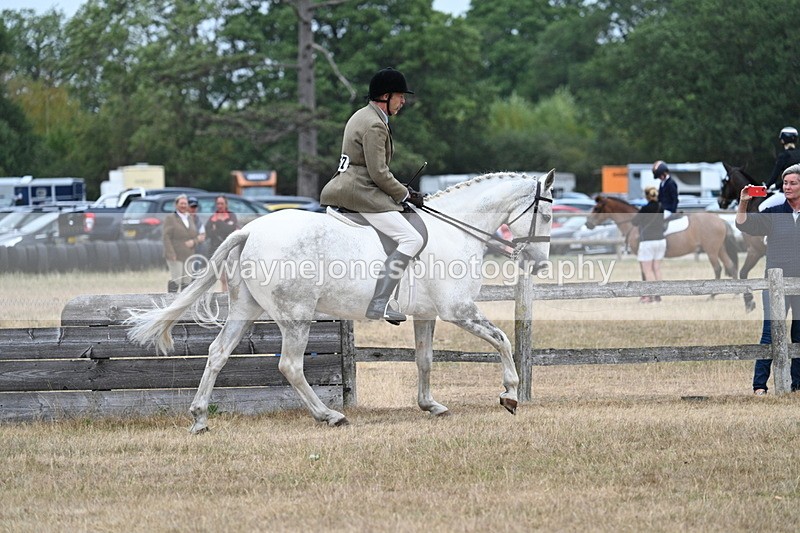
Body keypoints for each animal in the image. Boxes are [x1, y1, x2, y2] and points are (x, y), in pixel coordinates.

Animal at [128, 171, 556, 432]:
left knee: (217, 353)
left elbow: (425, 360)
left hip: (245, 310)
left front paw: (430, 405)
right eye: (550, 213)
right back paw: (329, 415)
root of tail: (250, 230)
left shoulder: (427, 316)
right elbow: (502, 340)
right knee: (290, 366)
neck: (455, 230)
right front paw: (510, 394)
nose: (539, 263)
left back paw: (200, 418)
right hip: (296, 316)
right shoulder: (459, 311)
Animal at [586, 195, 739, 282]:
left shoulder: (642, 253)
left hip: (711, 250)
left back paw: (712, 296)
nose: (588, 224)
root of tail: (720, 220)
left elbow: (644, 273)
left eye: (597, 208)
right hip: (719, 248)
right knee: (730, 265)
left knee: (718, 268)